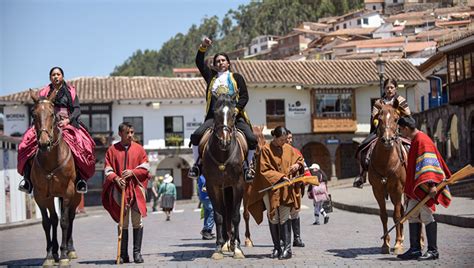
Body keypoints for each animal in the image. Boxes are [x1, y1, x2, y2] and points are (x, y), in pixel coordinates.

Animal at [29, 90, 80, 266]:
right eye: (34, 114)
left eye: (52, 114)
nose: (44, 143)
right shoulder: (41, 195)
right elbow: (47, 222)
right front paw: (50, 255)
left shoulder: (68, 192)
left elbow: (64, 221)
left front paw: (64, 255)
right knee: (53, 219)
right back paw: (56, 251)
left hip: (75, 196)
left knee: (70, 218)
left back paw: (70, 250)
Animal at [368, 102, 406, 253]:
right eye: (379, 119)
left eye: (396, 119)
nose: (387, 140)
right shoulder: (377, 190)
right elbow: (383, 215)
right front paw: (385, 244)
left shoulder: (398, 189)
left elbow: (397, 216)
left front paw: (397, 243)